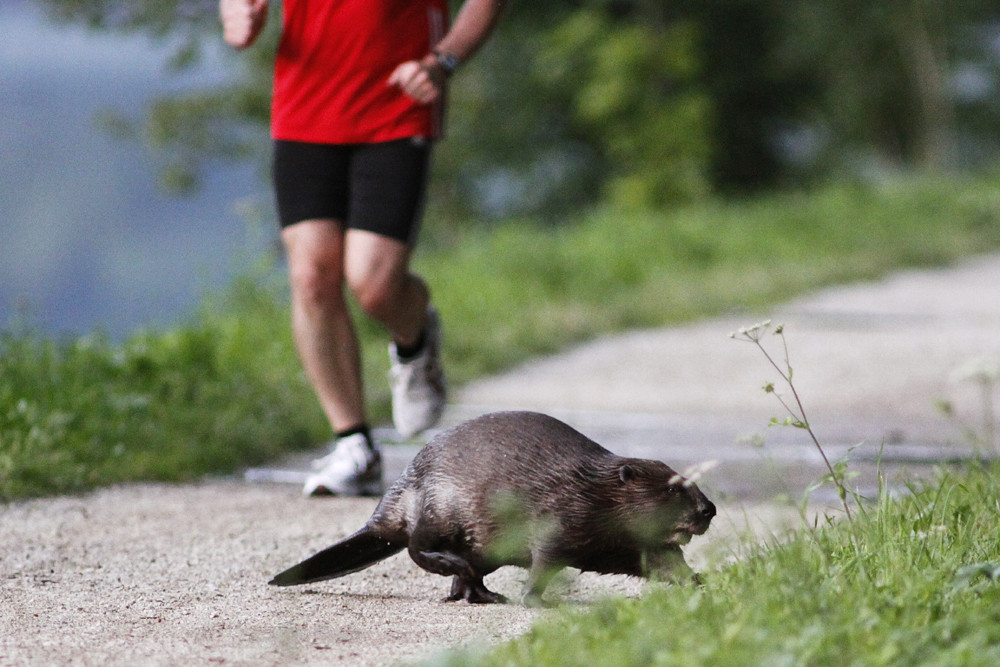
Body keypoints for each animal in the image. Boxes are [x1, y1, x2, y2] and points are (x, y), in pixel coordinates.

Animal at [270, 410, 716, 608]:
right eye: (676, 488)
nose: (708, 510)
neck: (593, 489)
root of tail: (386, 511)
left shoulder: (632, 543)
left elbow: (662, 560)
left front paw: (702, 582)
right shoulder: (560, 517)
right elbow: (544, 560)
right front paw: (534, 600)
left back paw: (478, 592)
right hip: (440, 508)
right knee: (417, 545)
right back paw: (462, 574)